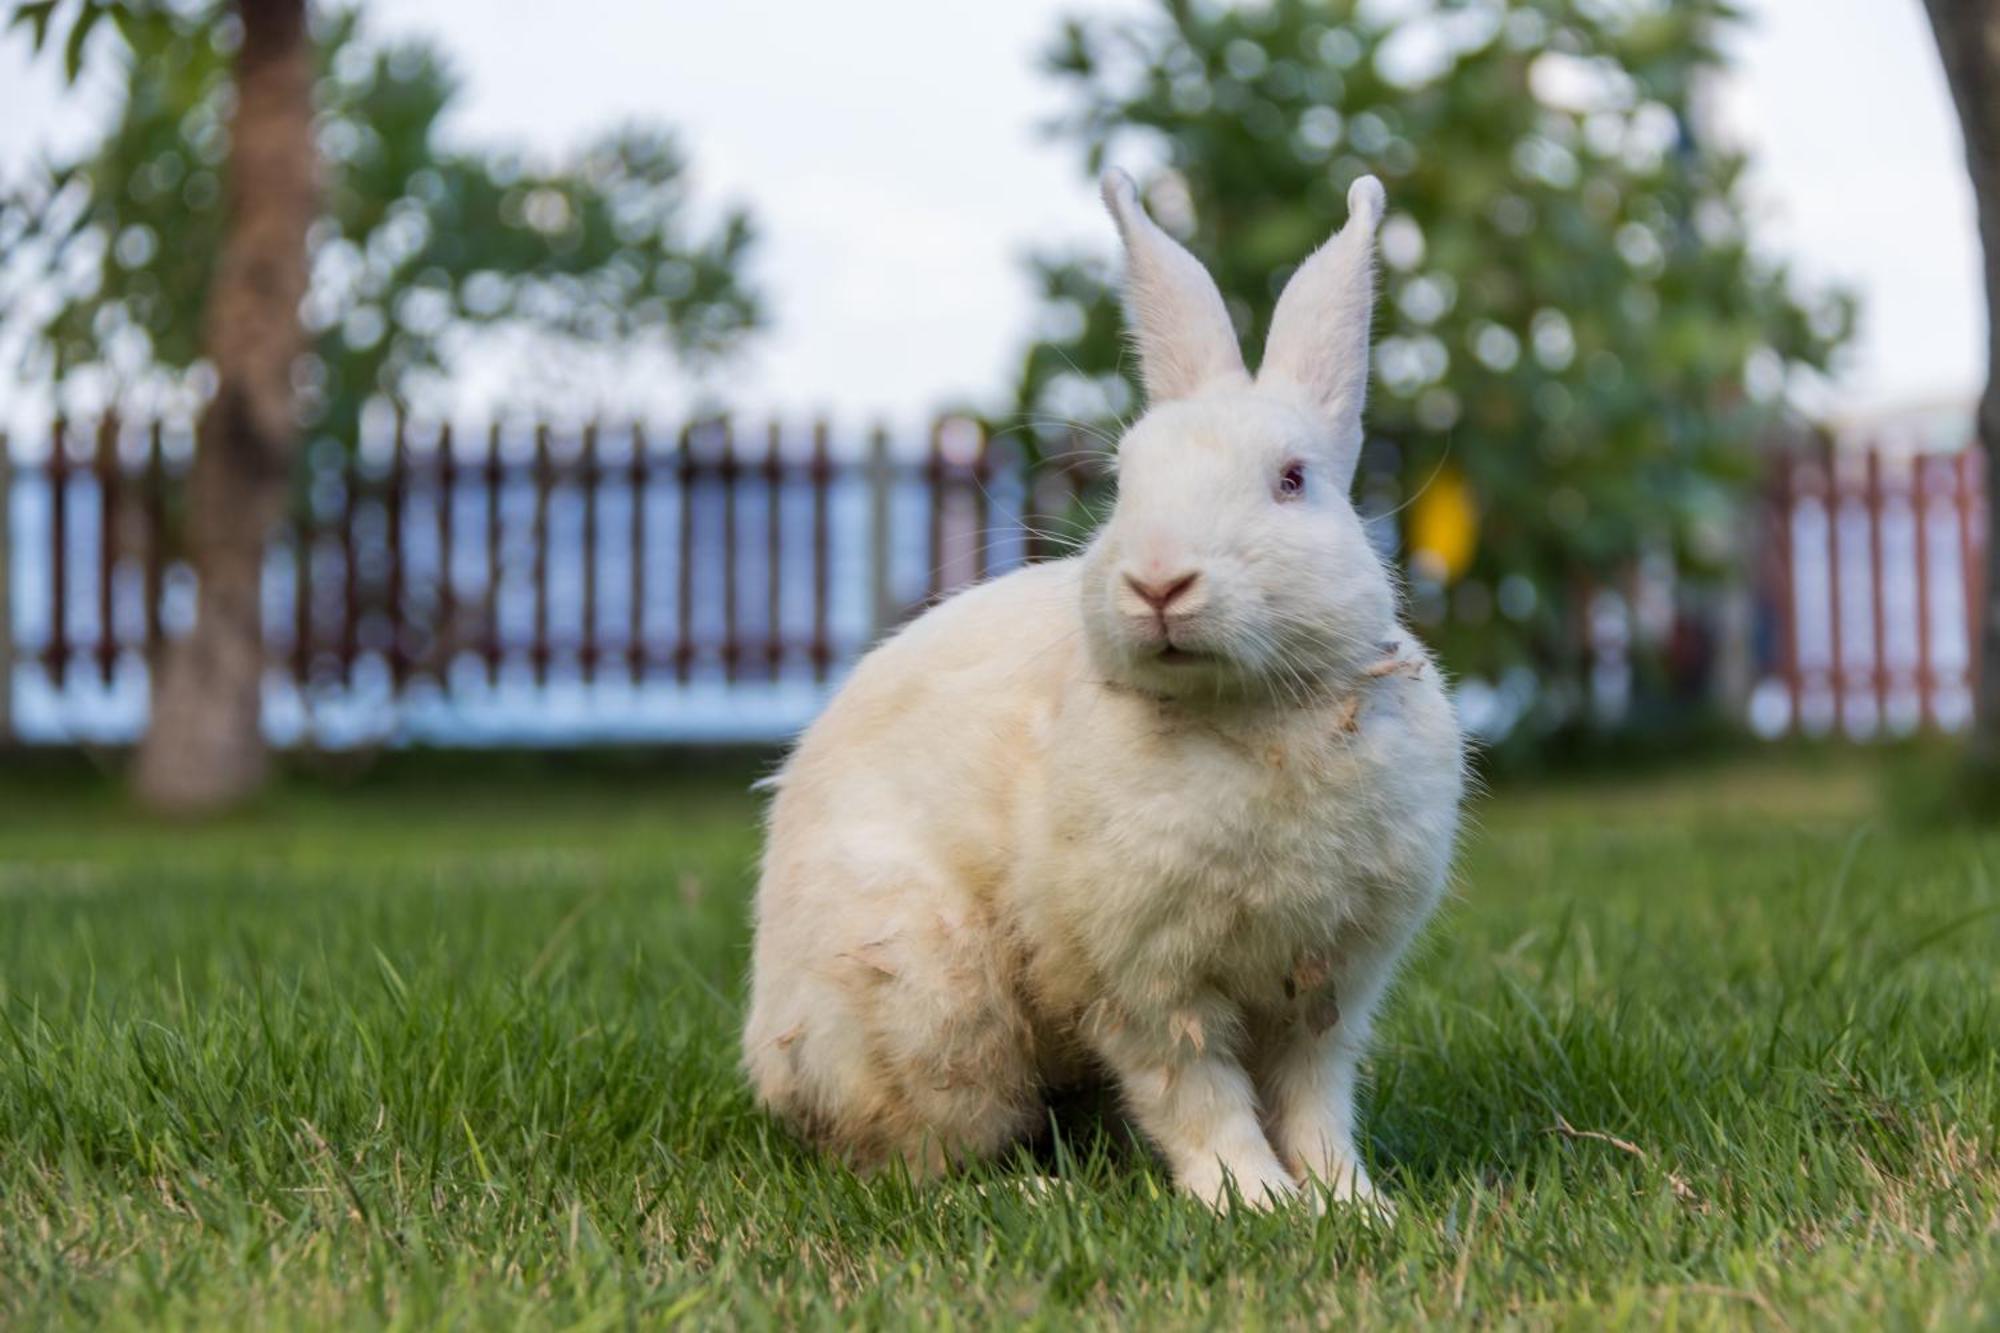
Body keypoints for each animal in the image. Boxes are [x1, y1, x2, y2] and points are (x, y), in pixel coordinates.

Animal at [744, 166, 1464, 1200]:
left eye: (1293, 479)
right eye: (1125, 482)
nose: (1159, 582)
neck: (1253, 715)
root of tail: (768, 1057)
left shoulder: (1326, 987)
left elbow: (1315, 1101)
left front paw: (1352, 1204)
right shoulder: (1145, 986)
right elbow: (1198, 1096)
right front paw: (1252, 1200)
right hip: (933, 1004)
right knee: (920, 1158)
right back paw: (1032, 1192)